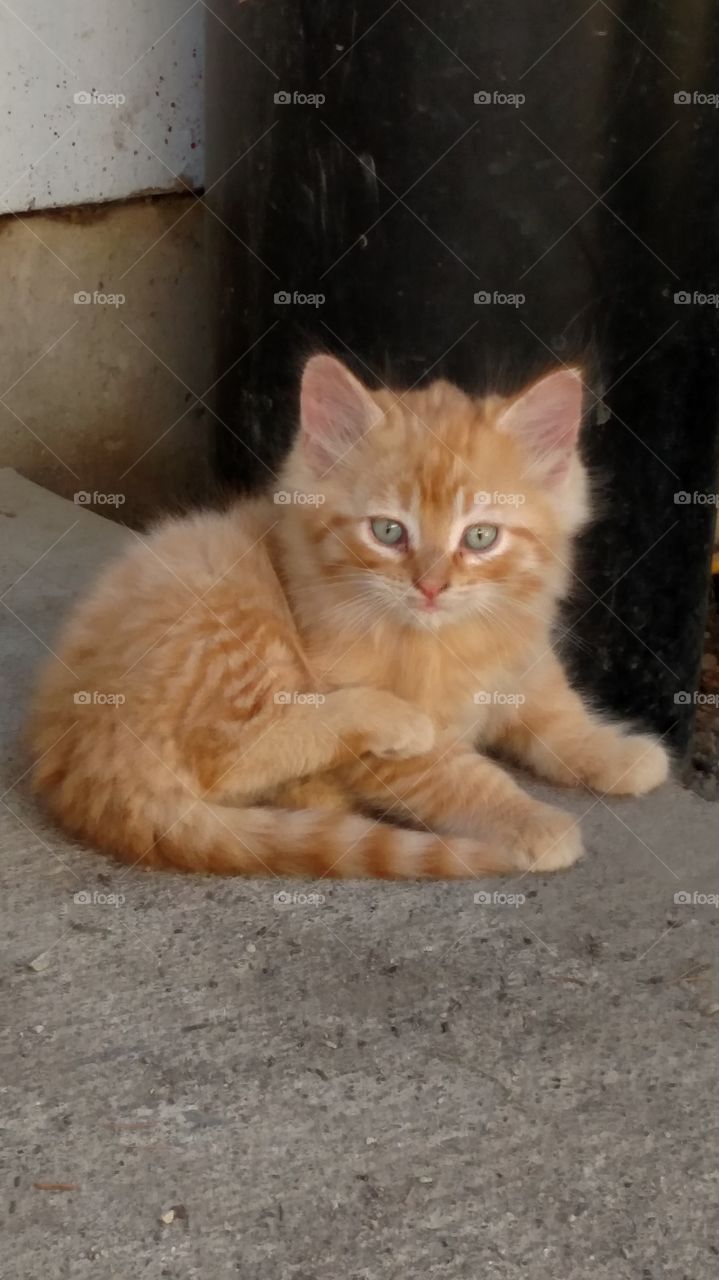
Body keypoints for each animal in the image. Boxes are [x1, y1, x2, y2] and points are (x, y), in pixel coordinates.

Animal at [27, 358, 665, 880]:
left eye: (481, 537)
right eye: (388, 531)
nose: (431, 586)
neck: (447, 640)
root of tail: (77, 759)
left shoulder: (522, 654)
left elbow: (557, 710)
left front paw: (614, 753)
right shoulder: (373, 722)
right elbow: (460, 776)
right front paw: (529, 818)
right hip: (223, 607)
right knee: (225, 754)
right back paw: (375, 729)